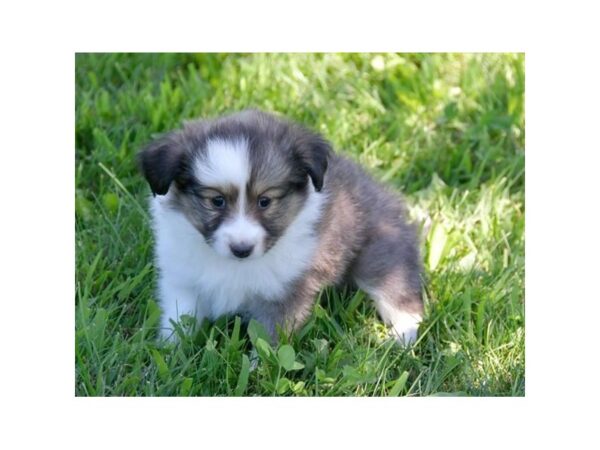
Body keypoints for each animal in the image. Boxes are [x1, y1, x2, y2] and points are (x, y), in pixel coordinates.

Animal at [139, 109, 424, 344]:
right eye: (217, 201)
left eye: (265, 201)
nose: (241, 249)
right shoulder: (183, 282)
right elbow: (180, 321)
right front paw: (170, 352)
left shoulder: (284, 294)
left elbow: (268, 343)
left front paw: (258, 371)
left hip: (380, 254)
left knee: (399, 295)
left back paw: (403, 339)